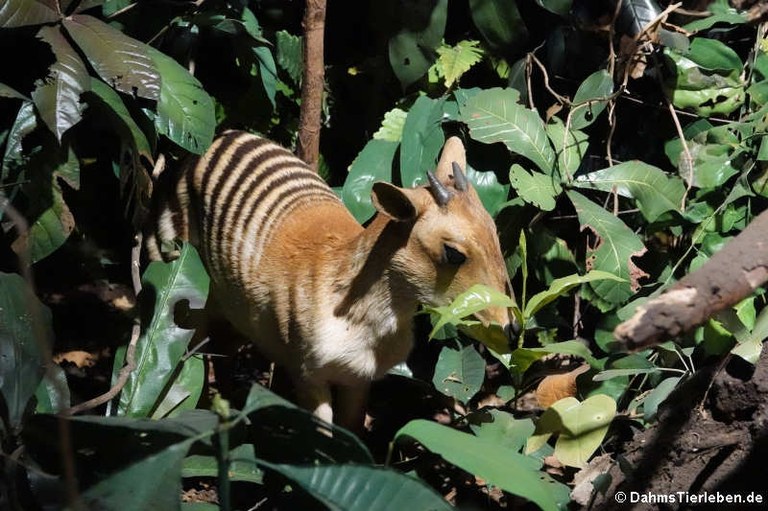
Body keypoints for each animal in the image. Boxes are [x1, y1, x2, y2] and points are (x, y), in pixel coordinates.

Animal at [147, 130, 520, 430]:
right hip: (174, 258)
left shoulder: (359, 378)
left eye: (494, 232)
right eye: (454, 253)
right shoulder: (306, 371)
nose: (513, 330)